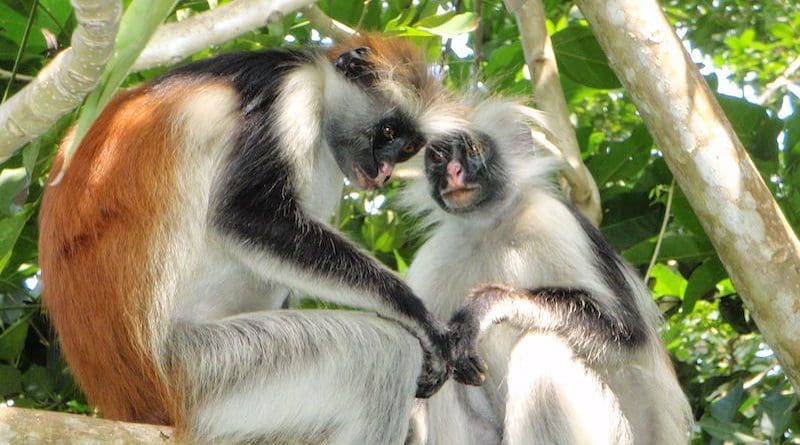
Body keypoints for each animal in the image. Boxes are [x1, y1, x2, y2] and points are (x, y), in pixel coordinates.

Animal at [40, 36, 478, 442]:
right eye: (387, 131)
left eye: (407, 147)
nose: (385, 172)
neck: (319, 79)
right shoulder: (290, 92)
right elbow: (246, 213)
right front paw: (420, 318)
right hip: (208, 369)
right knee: (384, 355)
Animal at [404, 99, 692, 442]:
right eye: (438, 157)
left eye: (473, 149)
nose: (452, 172)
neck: (490, 228)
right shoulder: (434, 258)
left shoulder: (551, 219)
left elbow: (627, 335)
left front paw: (489, 303)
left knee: (541, 349)